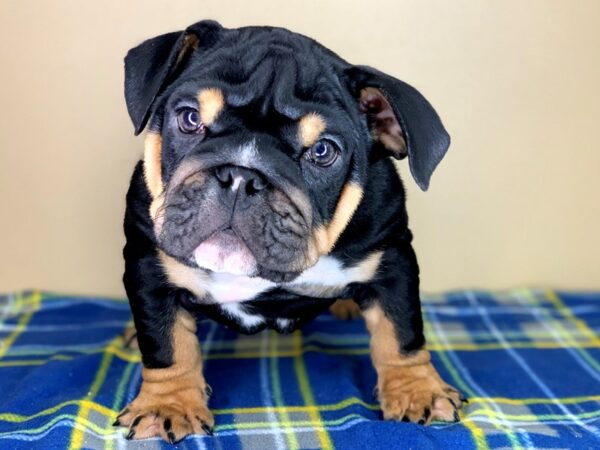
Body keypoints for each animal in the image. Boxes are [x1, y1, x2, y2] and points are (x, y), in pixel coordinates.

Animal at [117, 21, 464, 442]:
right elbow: (165, 342)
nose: (240, 177)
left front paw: (419, 391)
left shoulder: (392, 261)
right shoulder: (148, 267)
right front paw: (167, 404)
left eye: (323, 152)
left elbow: (401, 331)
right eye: (189, 118)